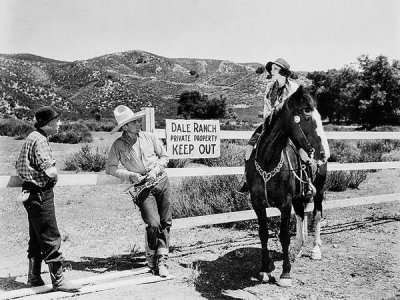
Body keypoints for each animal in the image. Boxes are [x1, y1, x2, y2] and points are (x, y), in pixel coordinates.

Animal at [247, 85, 328, 288]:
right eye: (306, 114)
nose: (324, 153)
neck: (268, 163)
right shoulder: (257, 204)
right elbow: (263, 234)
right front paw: (264, 269)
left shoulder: (285, 204)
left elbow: (284, 235)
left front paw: (285, 274)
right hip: (299, 196)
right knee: (300, 216)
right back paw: (297, 250)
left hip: (319, 190)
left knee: (316, 215)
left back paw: (315, 250)